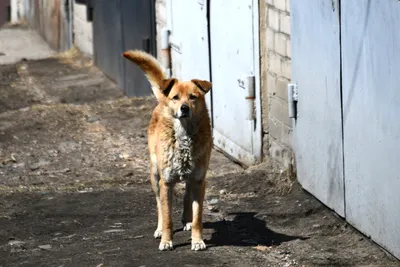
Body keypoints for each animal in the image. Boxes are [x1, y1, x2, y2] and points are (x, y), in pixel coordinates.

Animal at [123, 49, 214, 251]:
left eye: (193, 96)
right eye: (176, 98)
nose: (184, 108)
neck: (184, 136)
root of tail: (161, 100)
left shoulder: (199, 180)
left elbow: (198, 217)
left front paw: (197, 240)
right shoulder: (166, 183)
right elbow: (167, 217)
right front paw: (166, 240)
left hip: (191, 176)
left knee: (187, 195)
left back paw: (186, 220)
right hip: (155, 174)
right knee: (159, 205)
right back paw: (159, 229)